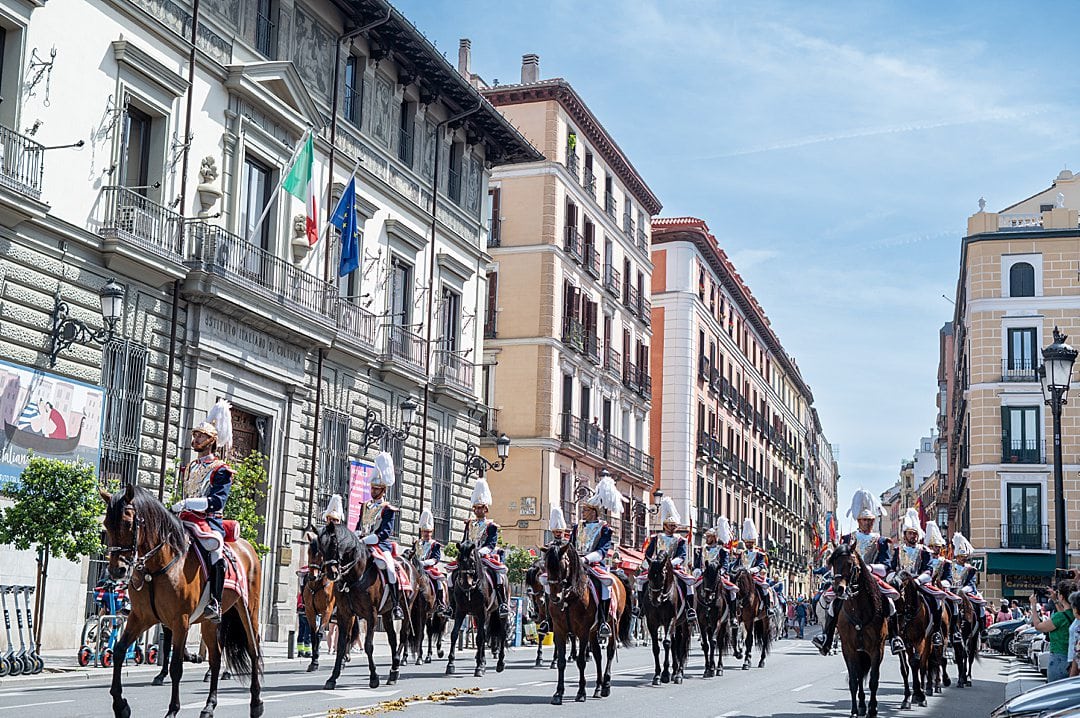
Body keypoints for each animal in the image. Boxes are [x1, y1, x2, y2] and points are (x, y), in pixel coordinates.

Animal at [99, 481, 263, 716]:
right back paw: (209, 706)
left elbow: (176, 665)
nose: (117, 570)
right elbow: (119, 651)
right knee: (215, 657)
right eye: (106, 524)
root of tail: (248, 547)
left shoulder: (181, 621)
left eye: (128, 523)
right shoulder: (141, 617)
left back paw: (256, 703)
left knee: (253, 650)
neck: (155, 568)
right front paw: (120, 705)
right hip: (209, 621)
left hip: (248, 611)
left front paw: (172, 710)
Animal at [317, 520, 410, 691]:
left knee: (402, 636)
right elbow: (341, 645)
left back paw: (395, 669)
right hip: (386, 613)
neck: (354, 576)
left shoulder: (371, 615)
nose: (332, 573)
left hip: (407, 609)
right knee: (392, 638)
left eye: (334, 545)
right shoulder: (345, 614)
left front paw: (374, 678)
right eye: (320, 548)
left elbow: (368, 645)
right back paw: (393, 672)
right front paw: (333, 678)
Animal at [544, 539, 630, 703]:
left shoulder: (582, 631)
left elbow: (581, 661)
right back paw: (597, 688)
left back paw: (606, 686)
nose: (555, 598)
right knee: (598, 655)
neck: (569, 597)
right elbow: (561, 662)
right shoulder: (559, 630)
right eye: (546, 565)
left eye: (562, 566)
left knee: (610, 652)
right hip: (593, 631)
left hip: (613, 625)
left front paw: (581, 692)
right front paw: (558, 693)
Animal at [639, 550, 691, 686]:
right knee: (675, 644)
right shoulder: (651, 622)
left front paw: (665, 674)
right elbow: (656, 648)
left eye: (662, 576)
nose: (655, 600)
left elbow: (666, 643)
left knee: (682, 646)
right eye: (648, 576)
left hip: (685, 624)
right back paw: (675, 672)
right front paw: (657, 675)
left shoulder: (670, 620)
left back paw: (679, 674)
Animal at [825, 539, 885, 712]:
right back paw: (861, 706)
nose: (839, 589)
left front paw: (872, 709)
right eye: (832, 563)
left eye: (850, 564)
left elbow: (873, 680)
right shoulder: (849, 649)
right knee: (858, 676)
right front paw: (854, 711)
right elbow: (853, 680)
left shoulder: (877, 649)